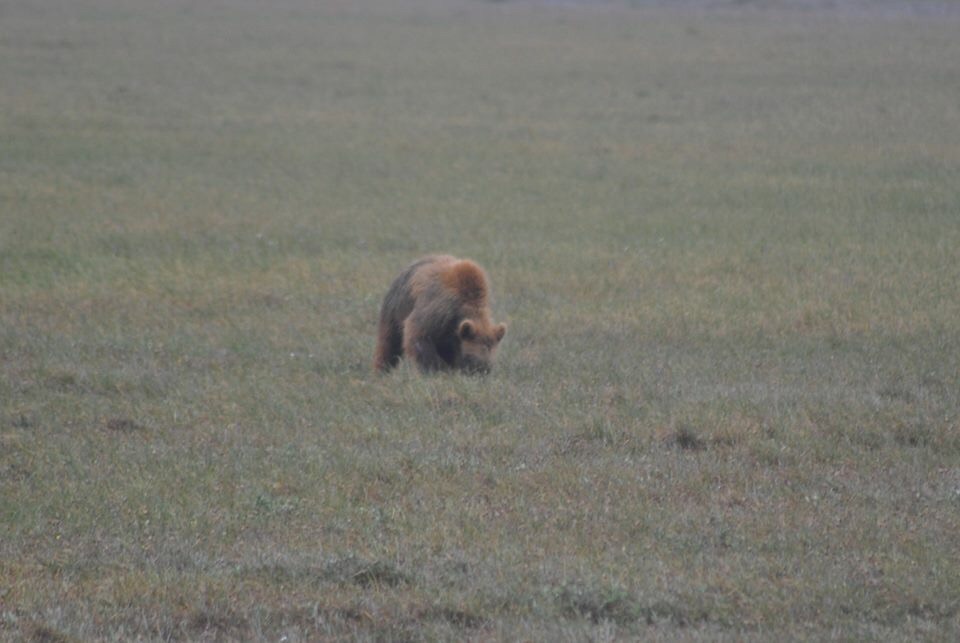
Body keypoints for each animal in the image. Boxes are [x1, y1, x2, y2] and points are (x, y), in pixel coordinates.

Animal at [374, 255, 507, 374]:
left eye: (491, 359)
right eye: (470, 357)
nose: (481, 372)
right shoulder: (439, 309)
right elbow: (418, 334)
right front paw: (438, 369)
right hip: (397, 308)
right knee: (389, 341)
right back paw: (382, 369)